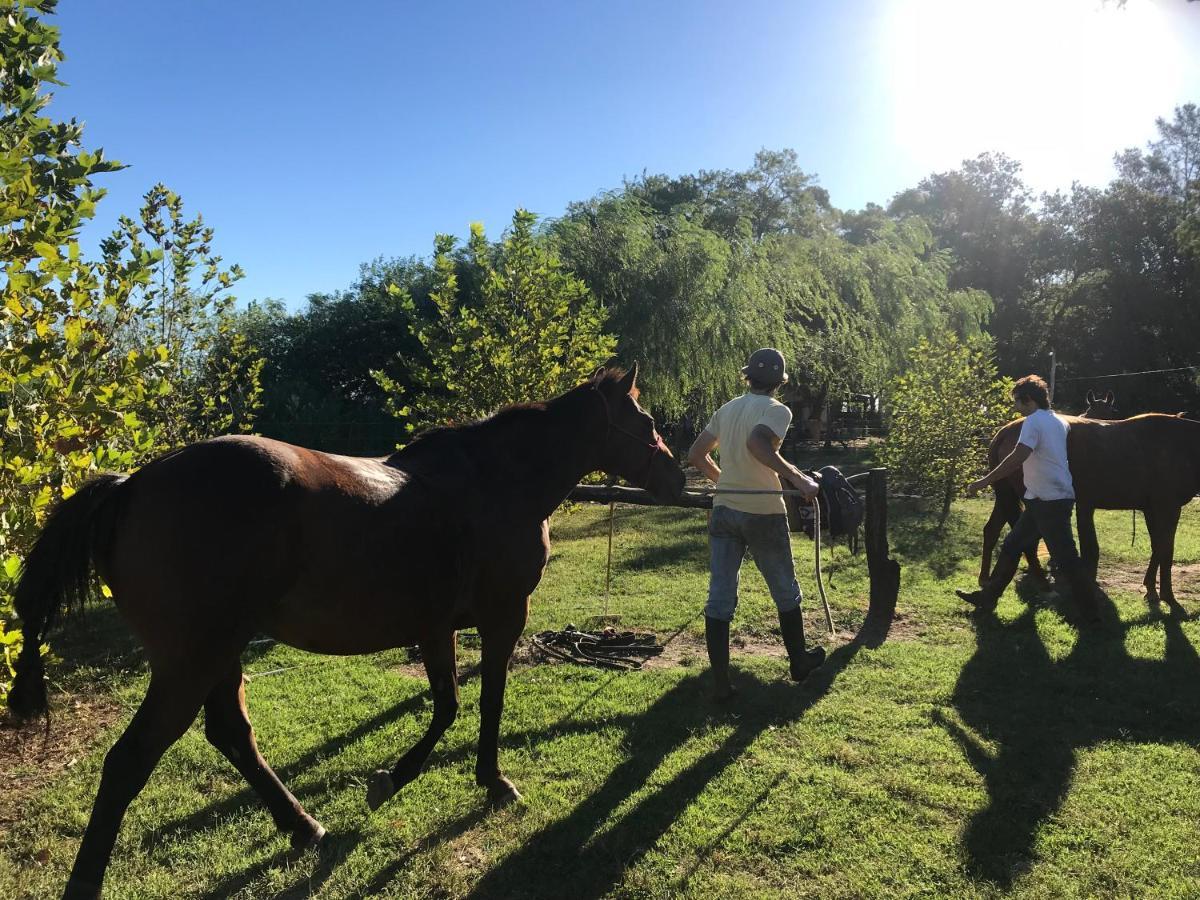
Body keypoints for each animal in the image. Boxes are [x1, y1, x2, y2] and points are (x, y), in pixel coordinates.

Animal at [7, 367, 686, 900]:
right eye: (646, 417)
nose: (676, 478)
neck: (496, 481)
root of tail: (132, 486)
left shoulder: (435, 626)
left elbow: (447, 706)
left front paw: (391, 780)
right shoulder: (502, 618)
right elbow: (486, 703)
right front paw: (490, 782)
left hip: (218, 655)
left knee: (231, 735)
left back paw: (304, 826)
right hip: (191, 662)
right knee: (130, 761)